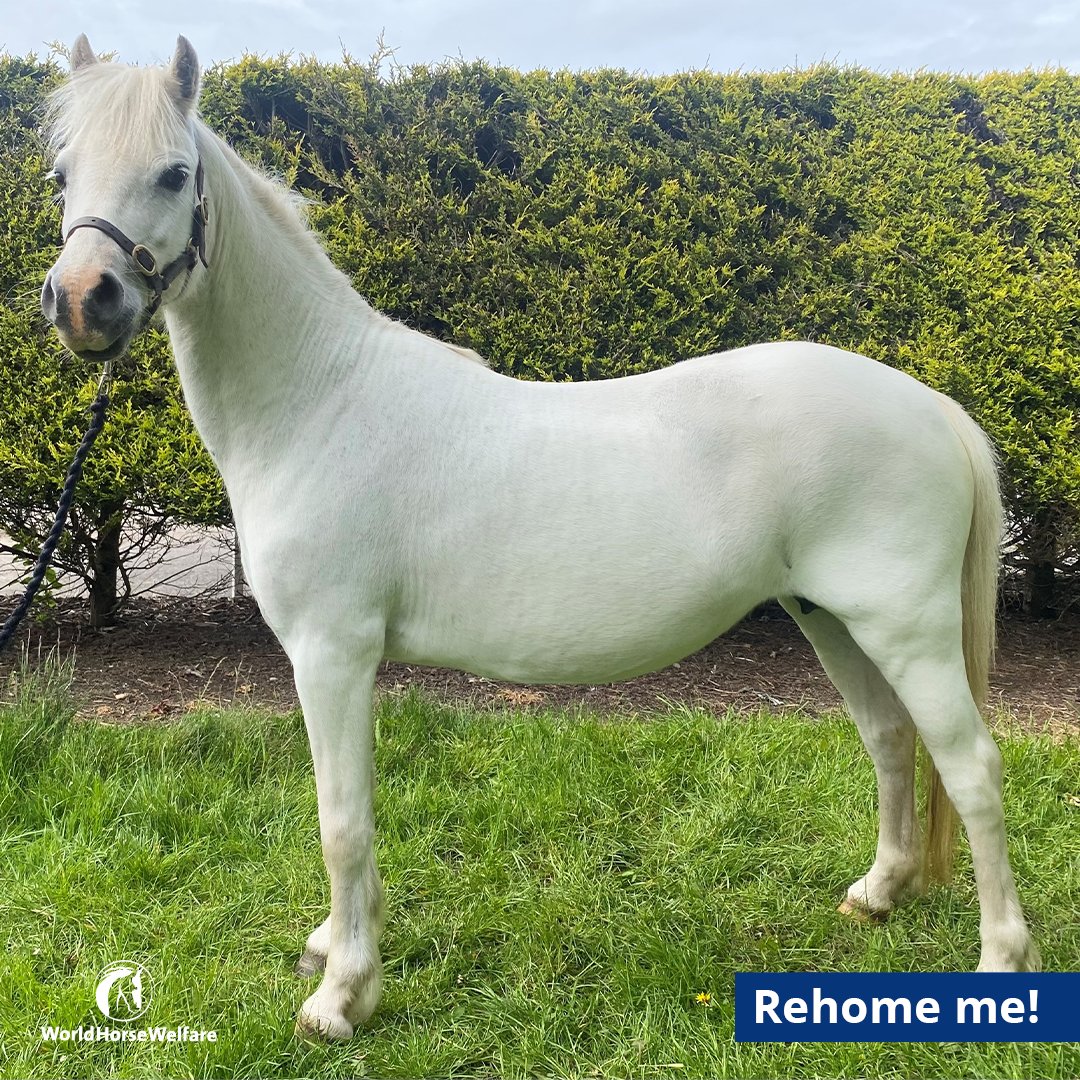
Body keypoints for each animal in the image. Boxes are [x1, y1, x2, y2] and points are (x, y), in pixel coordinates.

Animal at [39, 36, 1039, 1040]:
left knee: (974, 768)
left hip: (905, 629)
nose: (84, 301)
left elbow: (342, 819)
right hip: (829, 617)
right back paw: (878, 893)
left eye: (174, 174)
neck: (320, 399)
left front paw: (342, 994)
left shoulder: (332, 653)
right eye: (62, 171)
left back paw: (1001, 960)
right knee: (889, 738)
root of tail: (932, 405)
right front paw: (333, 949)